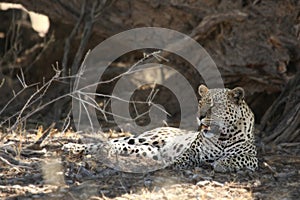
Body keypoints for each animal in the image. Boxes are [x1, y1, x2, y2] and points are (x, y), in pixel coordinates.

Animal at [63, 84, 258, 172]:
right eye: (201, 103)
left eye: (214, 106)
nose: (200, 116)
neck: (223, 135)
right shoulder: (194, 149)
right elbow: (185, 156)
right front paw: (176, 162)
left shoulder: (252, 158)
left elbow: (237, 158)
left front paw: (222, 163)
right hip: (143, 138)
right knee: (105, 142)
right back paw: (72, 146)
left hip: (145, 149)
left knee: (114, 146)